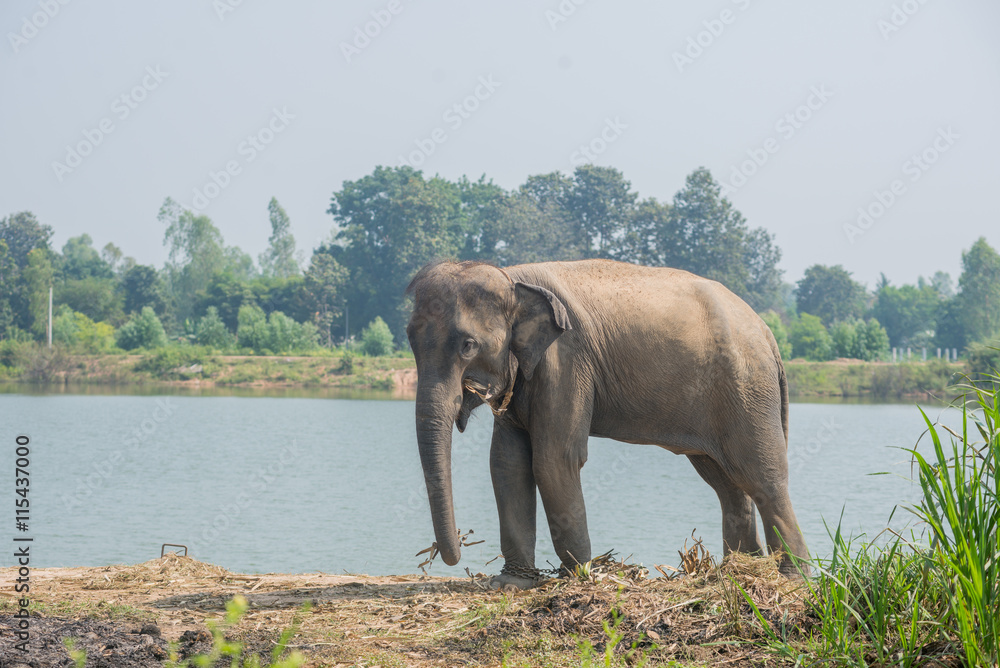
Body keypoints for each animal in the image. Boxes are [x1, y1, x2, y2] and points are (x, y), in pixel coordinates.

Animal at [406, 259, 809, 589]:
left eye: (468, 345)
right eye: (410, 339)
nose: (456, 548)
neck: (511, 277)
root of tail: (767, 333)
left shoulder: (566, 360)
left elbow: (554, 460)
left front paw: (578, 576)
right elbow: (508, 463)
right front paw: (510, 584)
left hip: (747, 390)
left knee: (761, 477)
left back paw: (791, 578)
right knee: (726, 483)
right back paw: (738, 572)